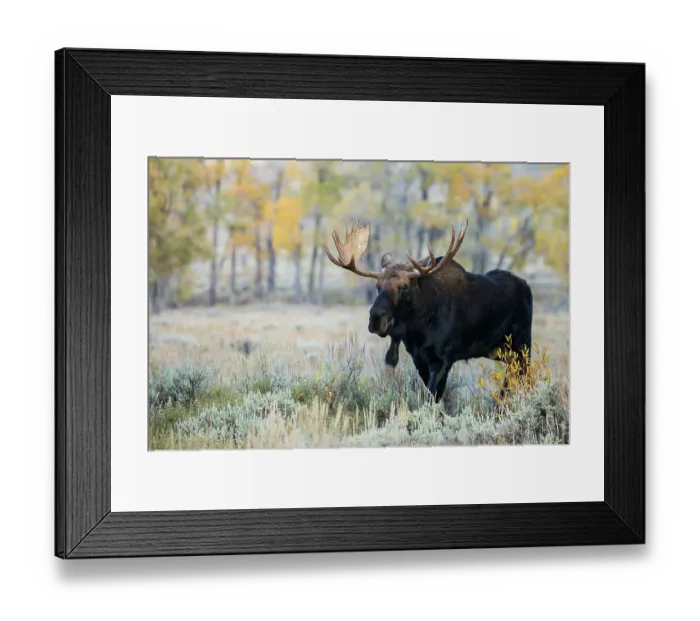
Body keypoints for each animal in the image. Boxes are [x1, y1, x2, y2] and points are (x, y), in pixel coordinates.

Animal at [324, 221, 533, 403]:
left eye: (404, 287)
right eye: (377, 286)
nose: (376, 319)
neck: (418, 329)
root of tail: (526, 286)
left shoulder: (443, 360)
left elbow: (431, 398)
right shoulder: (418, 358)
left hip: (522, 345)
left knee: (525, 378)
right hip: (500, 351)